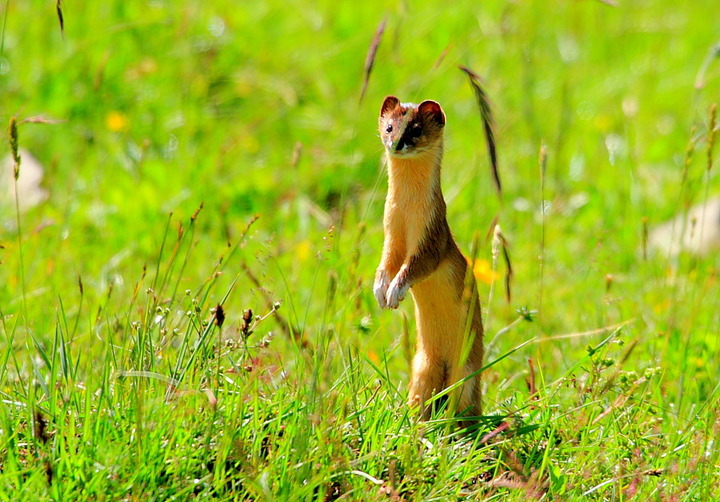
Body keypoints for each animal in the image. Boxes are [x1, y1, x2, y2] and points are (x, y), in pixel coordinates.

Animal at [372, 94, 484, 420]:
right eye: (389, 127)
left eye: (416, 130)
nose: (396, 143)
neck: (407, 214)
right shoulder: (390, 233)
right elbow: (386, 263)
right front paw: (380, 291)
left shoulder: (432, 235)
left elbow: (416, 265)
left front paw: (395, 291)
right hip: (421, 368)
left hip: (466, 371)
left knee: (463, 400)